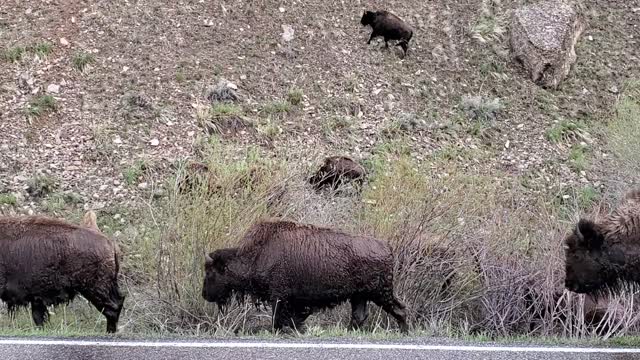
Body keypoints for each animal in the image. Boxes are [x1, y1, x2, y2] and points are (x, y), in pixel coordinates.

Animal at [202, 221, 408, 334]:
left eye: (210, 272)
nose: (205, 295)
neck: (257, 254)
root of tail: (387, 247)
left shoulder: (280, 297)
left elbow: (279, 319)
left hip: (379, 293)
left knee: (399, 310)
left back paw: (404, 331)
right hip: (360, 296)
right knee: (360, 316)